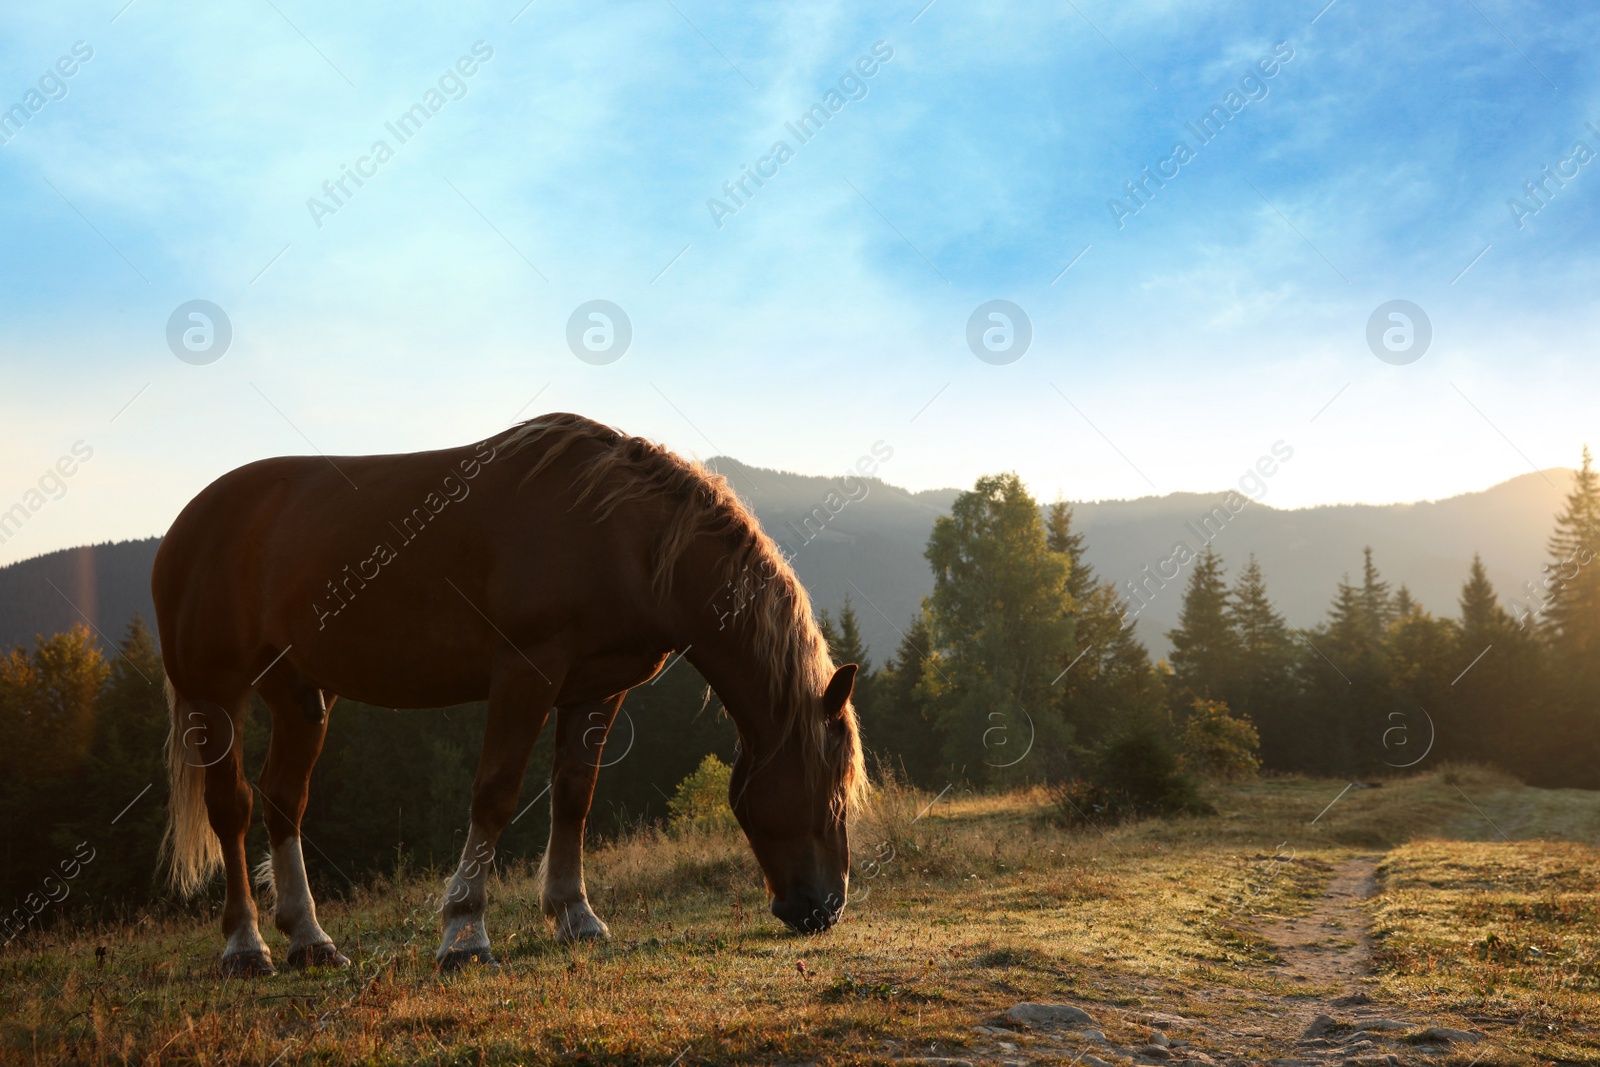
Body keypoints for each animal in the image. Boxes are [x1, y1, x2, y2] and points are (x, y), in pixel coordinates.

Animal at [152, 412, 864, 979]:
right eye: (831, 791)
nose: (824, 908)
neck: (621, 533)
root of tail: (188, 522)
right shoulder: (526, 673)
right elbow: (495, 794)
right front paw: (464, 933)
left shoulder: (598, 689)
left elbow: (574, 795)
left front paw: (576, 916)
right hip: (215, 694)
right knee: (232, 809)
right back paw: (246, 948)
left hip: (299, 694)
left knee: (284, 801)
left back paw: (309, 939)